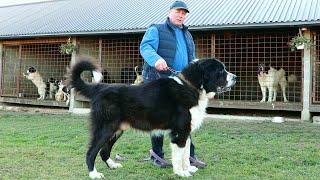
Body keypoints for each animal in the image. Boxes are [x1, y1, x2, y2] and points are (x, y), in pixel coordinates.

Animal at [67, 56, 236, 179]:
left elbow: (186, 154)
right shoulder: (179, 133)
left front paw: (189, 168)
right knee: (91, 152)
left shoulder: (186, 132)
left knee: (103, 151)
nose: (235, 77)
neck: (191, 86)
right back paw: (94, 174)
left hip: (117, 130)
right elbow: (179, 155)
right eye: (220, 70)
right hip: (106, 128)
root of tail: (99, 88)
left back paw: (112, 165)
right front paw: (181, 173)